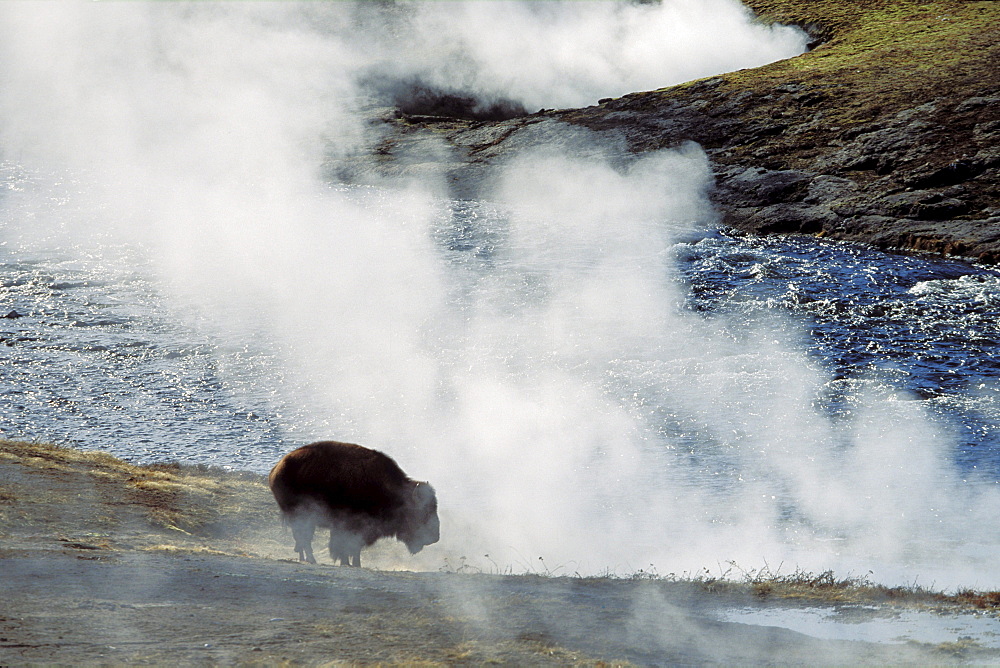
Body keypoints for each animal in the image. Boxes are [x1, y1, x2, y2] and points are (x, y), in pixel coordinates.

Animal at [268, 440, 440, 568]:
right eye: (423, 512)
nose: (435, 537)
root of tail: (277, 468)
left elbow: (355, 548)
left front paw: (354, 564)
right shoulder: (349, 526)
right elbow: (347, 546)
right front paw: (348, 563)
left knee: (301, 539)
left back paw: (305, 559)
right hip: (302, 516)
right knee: (303, 538)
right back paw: (311, 560)